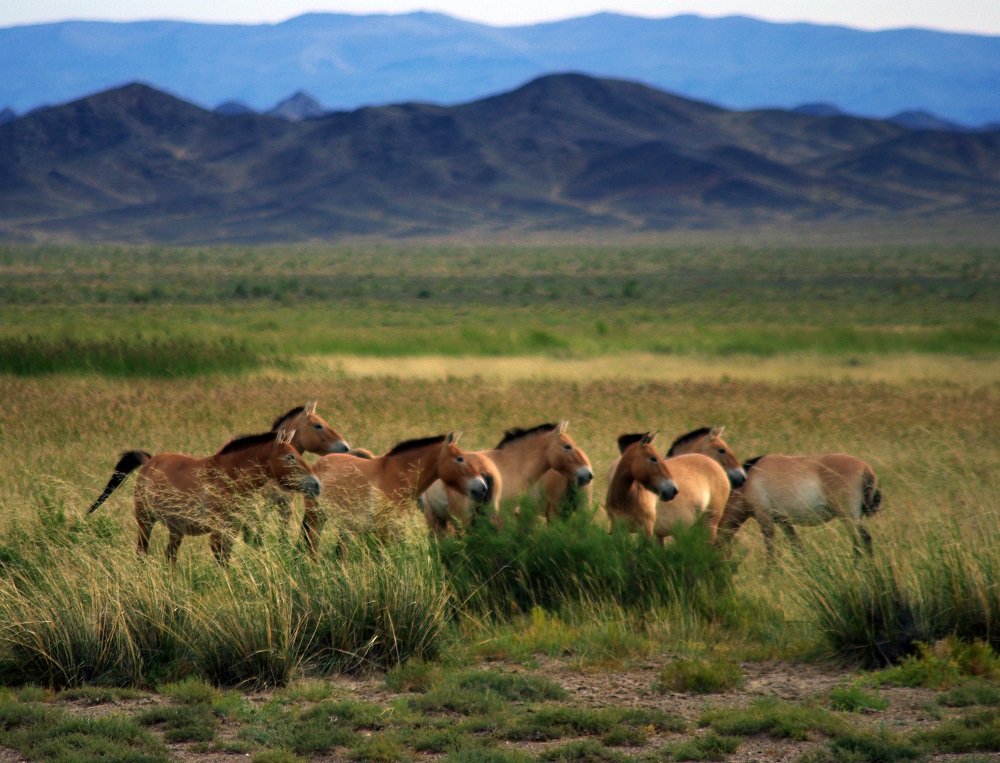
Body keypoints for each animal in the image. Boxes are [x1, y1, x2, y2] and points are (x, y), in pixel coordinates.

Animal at [89, 430, 318, 568]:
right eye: (290, 457)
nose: (316, 484)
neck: (227, 478)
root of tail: (149, 462)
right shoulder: (217, 531)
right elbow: (220, 561)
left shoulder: (231, 530)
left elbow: (225, 560)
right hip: (145, 521)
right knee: (142, 552)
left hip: (176, 530)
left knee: (170, 556)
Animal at [304, 430, 492, 556]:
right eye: (460, 459)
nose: (482, 487)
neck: (393, 475)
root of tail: (320, 462)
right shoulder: (383, 529)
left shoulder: (397, 528)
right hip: (315, 517)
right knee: (312, 547)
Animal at [720, 450, 884, 560]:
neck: (748, 481)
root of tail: (865, 467)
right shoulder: (783, 521)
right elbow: (797, 548)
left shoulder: (764, 517)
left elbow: (770, 549)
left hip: (848, 517)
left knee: (862, 540)